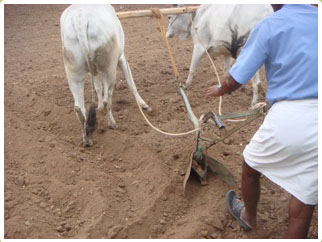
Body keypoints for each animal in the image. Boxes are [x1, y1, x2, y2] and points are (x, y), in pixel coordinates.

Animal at [60, 4, 151, 147]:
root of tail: (80, 17)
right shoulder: (121, 58)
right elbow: (131, 84)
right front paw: (143, 104)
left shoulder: (95, 71)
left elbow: (98, 87)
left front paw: (99, 108)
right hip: (110, 68)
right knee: (107, 99)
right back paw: (112, 124)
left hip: (73, 71)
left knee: (79, 108)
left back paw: (87, 139)